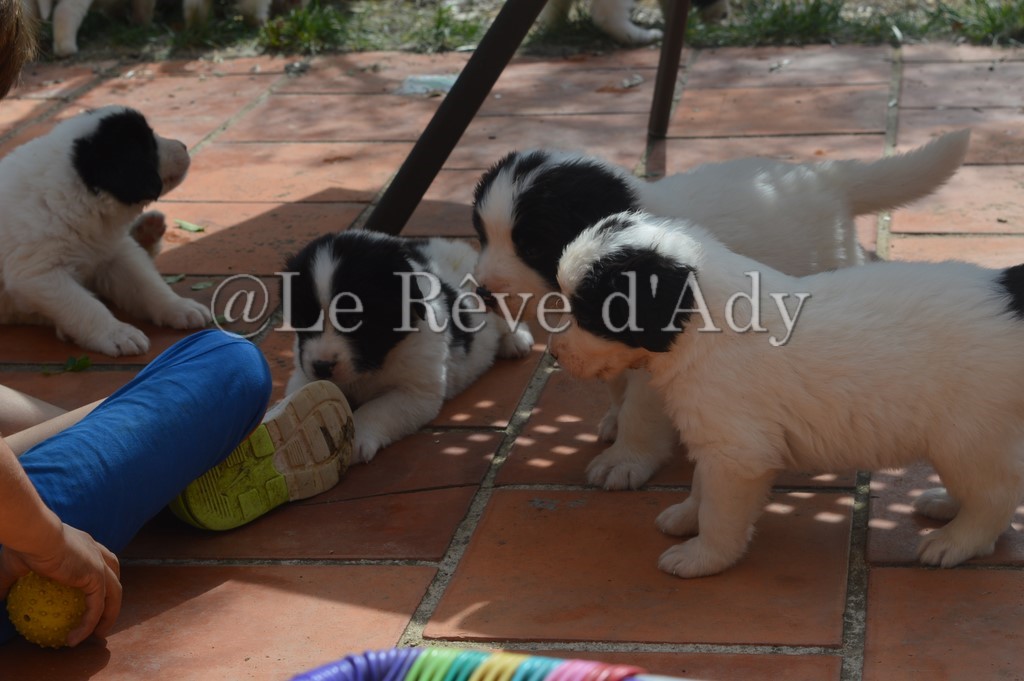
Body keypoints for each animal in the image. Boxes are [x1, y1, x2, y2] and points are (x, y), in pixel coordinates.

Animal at [0, 105, 212, 355]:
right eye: (147, 145)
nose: (184, 145)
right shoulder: (39, 273)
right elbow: (83, 304)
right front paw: (117, 333)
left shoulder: (115, 252)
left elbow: (147, 283)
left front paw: (179, 306)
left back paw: (147, 230)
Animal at [281, 230, 533, 463]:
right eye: (302, 321)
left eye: (352, 320)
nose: (322, 367)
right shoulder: (304, 372)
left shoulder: (415, 392)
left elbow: (377, 408)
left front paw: (357, 436)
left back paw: (516, 339)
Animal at [472, 131, 970, 490]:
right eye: (481, 237)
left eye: (531, 246)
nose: (484, 293)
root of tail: (822, 177)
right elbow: (612, 383)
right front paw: (614, 418)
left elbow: (639, 410)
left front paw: (625, 460)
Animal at [550, 210, 1024, 577]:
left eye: (588, 313)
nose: (553, 354)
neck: (704, 320)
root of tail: (1008, 291)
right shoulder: (716, 440)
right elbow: (701, 488)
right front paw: (685, 516)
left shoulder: (738, 454)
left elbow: (719, 514)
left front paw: (701, 557)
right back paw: (944, 505)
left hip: (968, 437)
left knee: (996, 496)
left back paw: (954, 541)